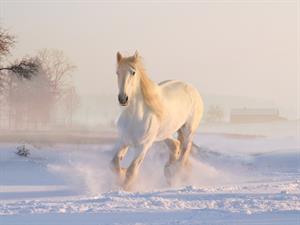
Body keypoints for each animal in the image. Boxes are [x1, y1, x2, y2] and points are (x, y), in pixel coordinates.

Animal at [110, 51, 204, 190]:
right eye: (117, 72)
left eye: (133, 72)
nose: (123, 98)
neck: (135, 117)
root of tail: (191, 88)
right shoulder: (124, 141)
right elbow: (114, 163)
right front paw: (121, 174)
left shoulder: (143, 146)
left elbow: (131, 171)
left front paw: (125, 188)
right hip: (165, 133)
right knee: (175, 145)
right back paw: (168, 170)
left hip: (188, 130)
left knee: (184, 153)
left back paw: (174, 174)